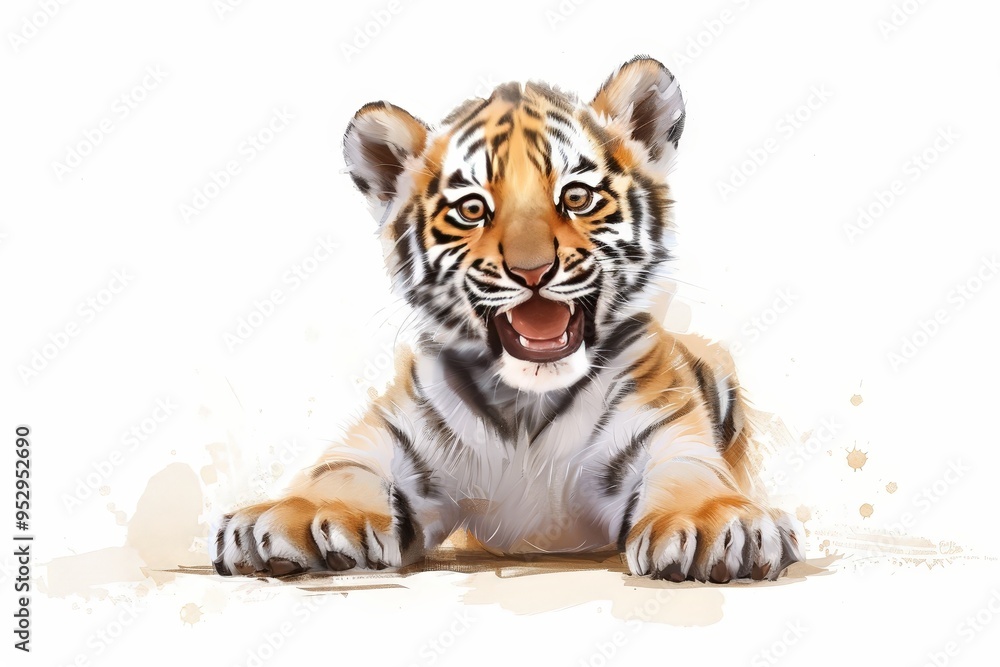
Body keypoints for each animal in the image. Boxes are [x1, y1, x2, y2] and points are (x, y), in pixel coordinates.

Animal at [211, 56, 804, 583]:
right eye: (472, 209)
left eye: (577, 196)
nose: (532, 270)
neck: (527, 406)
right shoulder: (386, 441)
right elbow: (338, 471)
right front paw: (290, 517)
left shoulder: (668, 435)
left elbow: (691, 475)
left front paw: (715, 526)